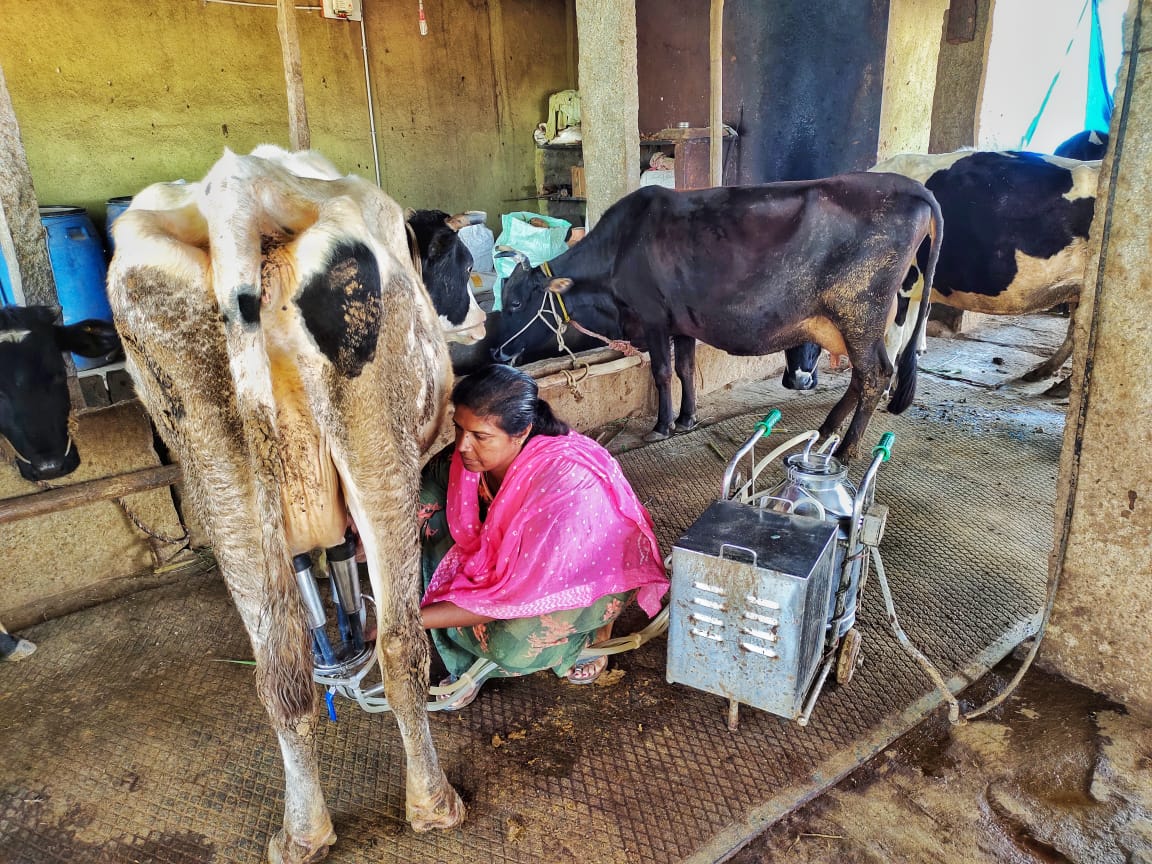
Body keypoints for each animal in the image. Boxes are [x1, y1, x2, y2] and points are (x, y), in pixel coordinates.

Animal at [107, 146, 464, 862]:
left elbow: (319, 577)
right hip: (376, 438)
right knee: (400, 644)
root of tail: (235, 189)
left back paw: (302, 833)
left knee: (280, 672)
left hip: (212, 453)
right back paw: (433, 805)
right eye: (463, 265)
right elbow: (347, 573)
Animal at [493, 176, 942, 459]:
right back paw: (829, 428)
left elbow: (662, 372)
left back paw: (847, 449)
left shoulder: (653, 319)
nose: (496, 352)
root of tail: (912, 186)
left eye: (514, 303)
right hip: (855, 324)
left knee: (875, 375)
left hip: (859, 314)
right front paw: (688, 418)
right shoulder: (682, 324)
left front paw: (662, 425)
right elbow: (686, 370)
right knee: (865, 376)